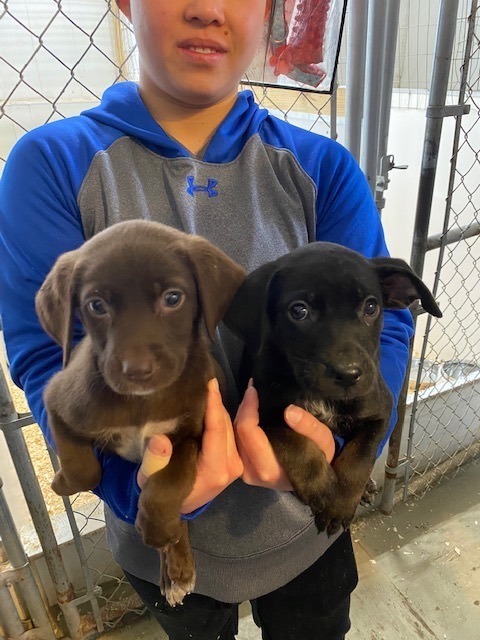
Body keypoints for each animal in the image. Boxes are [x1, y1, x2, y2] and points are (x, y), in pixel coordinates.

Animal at [35, 221, 246, 604]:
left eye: (173, 298)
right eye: (97, 305)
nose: (137, 370)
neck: (142, 402)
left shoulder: (189, 435)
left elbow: (169, 483)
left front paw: (159, 528)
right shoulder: (58, 400)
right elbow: (84, 468)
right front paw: (62, 482)